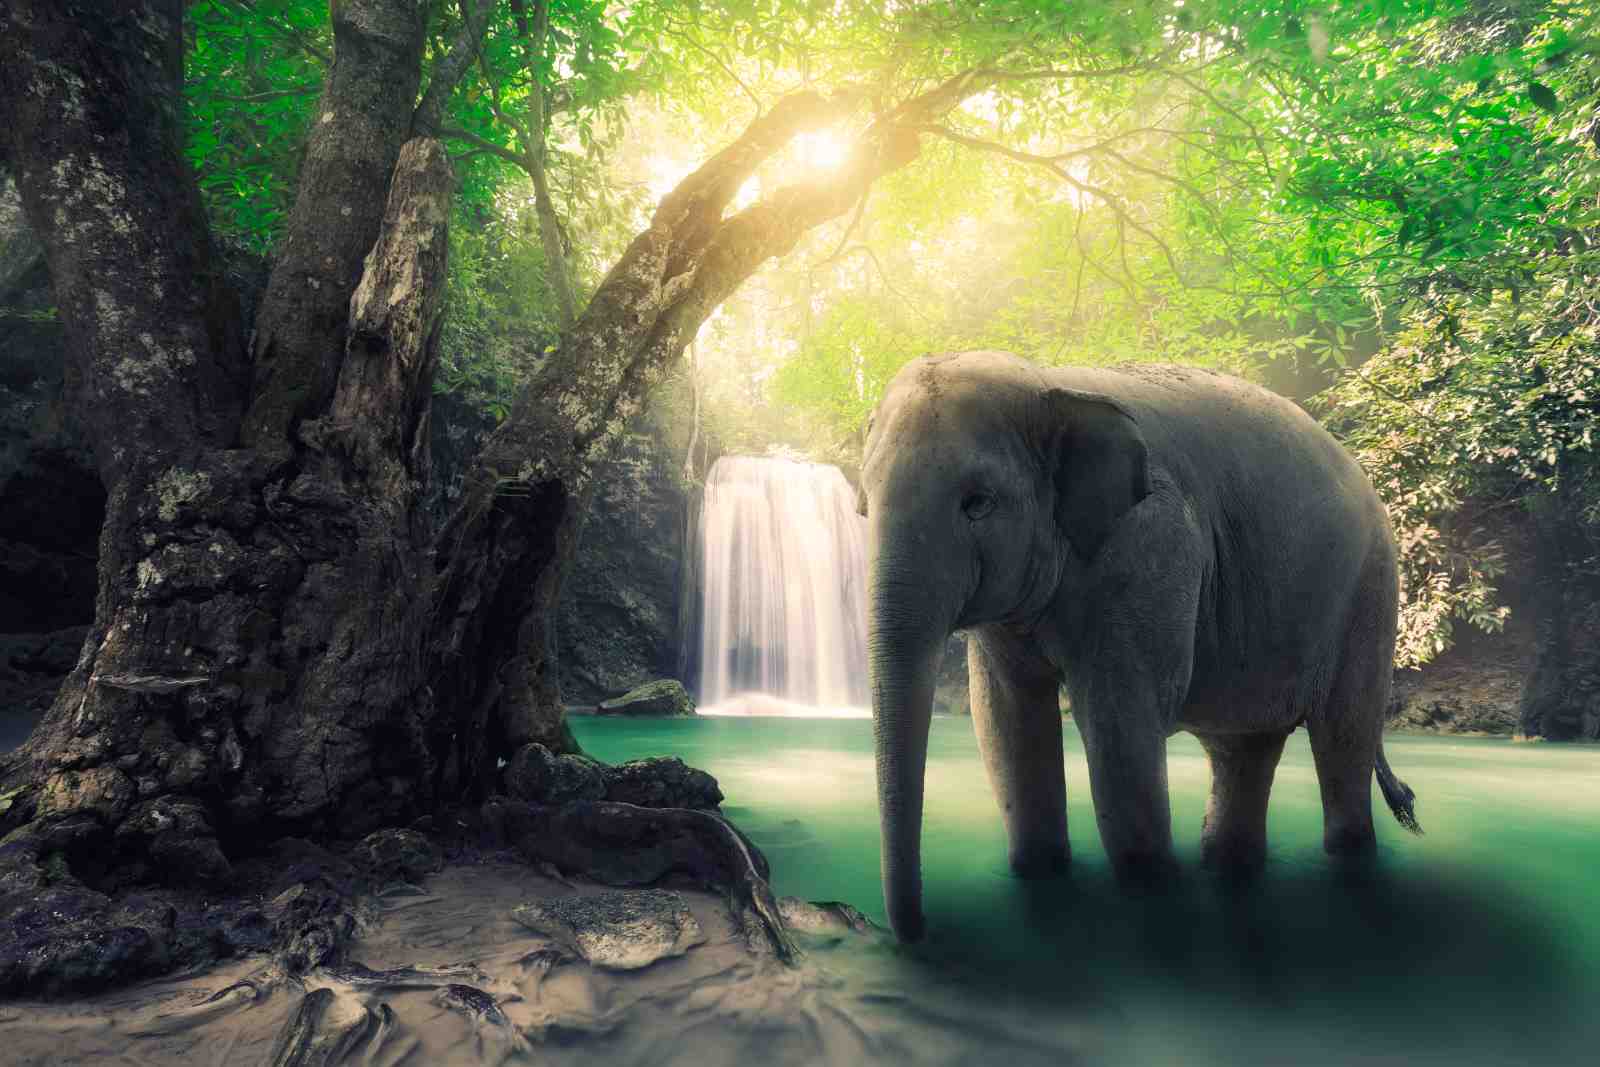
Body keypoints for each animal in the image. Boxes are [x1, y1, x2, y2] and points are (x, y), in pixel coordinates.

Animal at [857, 350, 1420, 943]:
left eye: (978, 503)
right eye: (865, 507)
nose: (916, 932)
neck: (1048, 381)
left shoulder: (1151, 546)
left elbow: (1118, 723)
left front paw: (1149, 889)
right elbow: (1006, 723)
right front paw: (1042, 873)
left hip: (1370, 591)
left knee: (1342, 738)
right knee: (1244, 748)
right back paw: (1230, 865)